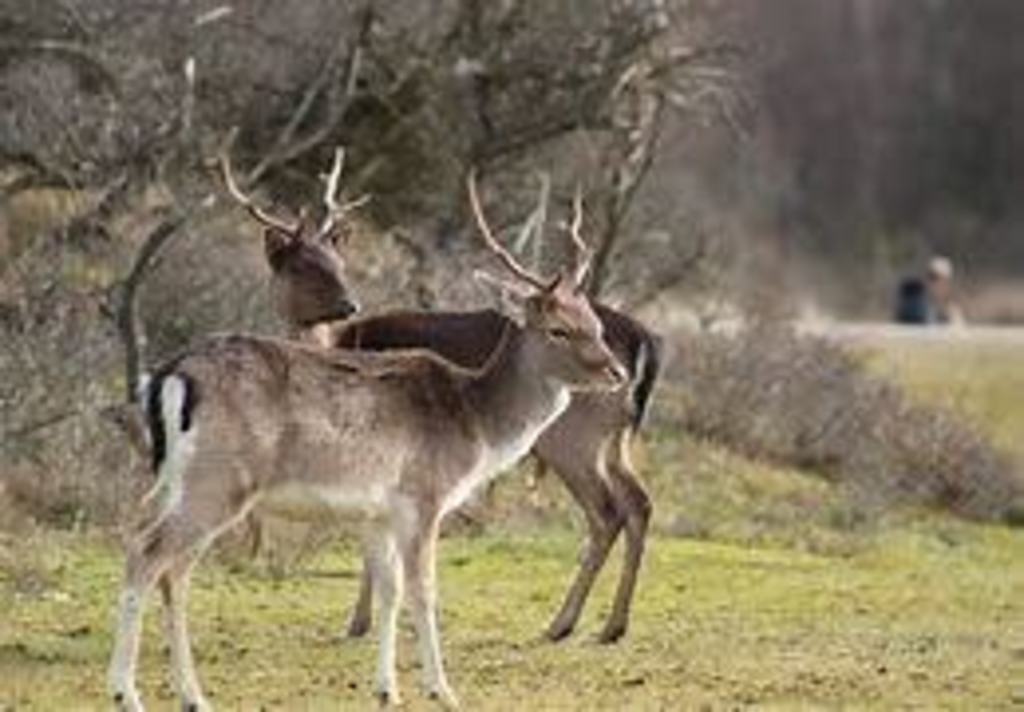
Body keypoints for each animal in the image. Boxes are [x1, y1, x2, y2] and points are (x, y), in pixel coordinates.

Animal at [107, 173, 627, 711]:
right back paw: (128, 692)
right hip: (219, 481)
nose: (617, 372)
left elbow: (389, 590)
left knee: (163, 559)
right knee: (149, 552)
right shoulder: (423, 496)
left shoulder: (377, 511)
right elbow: (424, 589)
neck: (475, 422)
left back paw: (191, 696)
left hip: (175, 479)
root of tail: (169, 376)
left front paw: (387, 688)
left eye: (596, 324)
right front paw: (443, 689)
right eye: (558, 329)